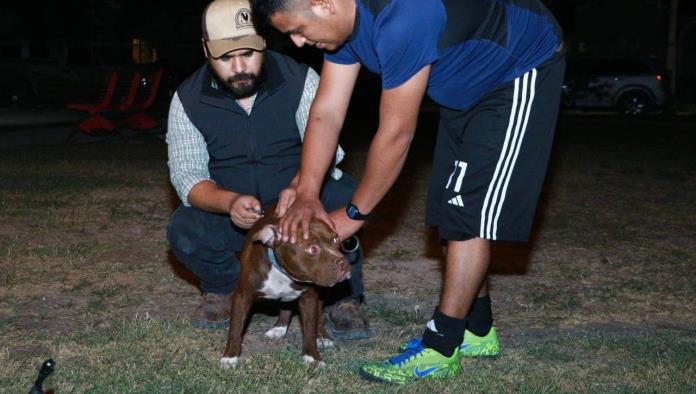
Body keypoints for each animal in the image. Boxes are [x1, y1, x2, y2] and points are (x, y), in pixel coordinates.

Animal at [219, 211, 350, 368]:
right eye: (313, 249)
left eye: (336, 239)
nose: (345, 263)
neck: (283, 273)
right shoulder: (242, 296)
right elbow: (235, 328)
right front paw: (230, 356)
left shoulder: (309, 299)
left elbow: (310, 329)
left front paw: (312, 357)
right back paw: (279, 328)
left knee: (318, 316)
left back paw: (322, 336)